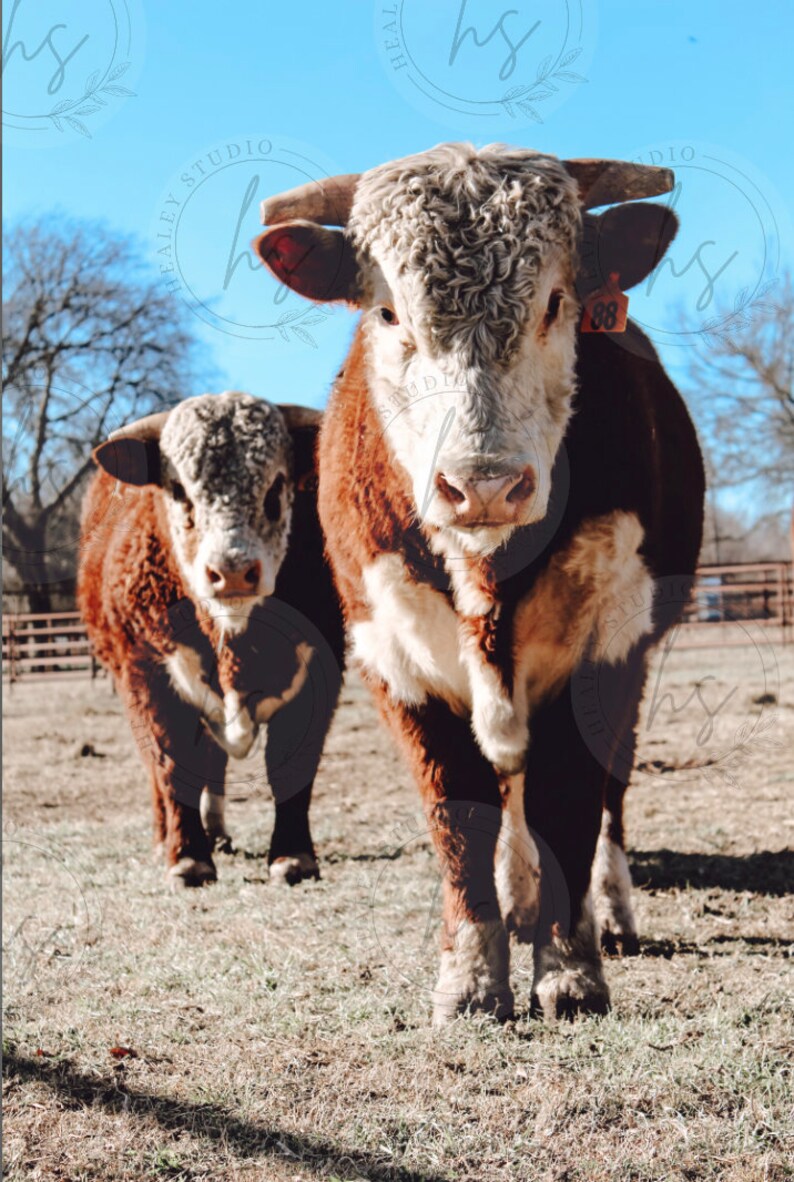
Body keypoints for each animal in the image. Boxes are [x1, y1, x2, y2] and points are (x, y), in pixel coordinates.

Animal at [78, 391, 345, 888]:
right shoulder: (148, 674)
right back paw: (166, 837)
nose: (233, 570)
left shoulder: (321, 668)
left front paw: (294, 856)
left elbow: (292, 764)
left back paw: (217, 831)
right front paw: (187, 858)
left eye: (276, 486)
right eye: (179, 490)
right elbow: (171, 762)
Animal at [252, 143, 705, 1025]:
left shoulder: (605, 645)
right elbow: (459, 813)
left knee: (607, 791)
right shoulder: (392, 655)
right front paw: (469, 977)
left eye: (557, 301)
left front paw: (569, 969)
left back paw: (604, 908)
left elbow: (571, 794)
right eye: (387, 314)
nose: (483, 484)